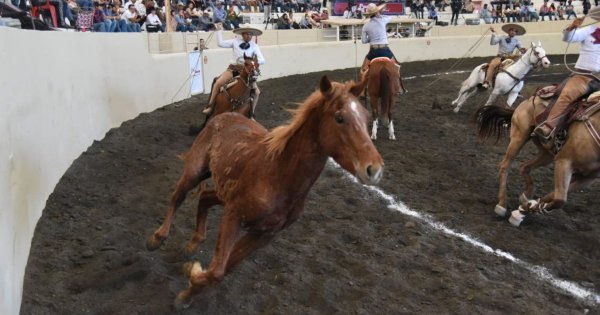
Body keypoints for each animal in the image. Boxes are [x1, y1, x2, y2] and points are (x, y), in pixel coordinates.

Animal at [145, 76, 382, 308]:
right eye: (339, 118)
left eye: (366, 117)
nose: (375, 169)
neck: (277, 174)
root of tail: (222, 116)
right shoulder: (234, 216)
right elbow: (218, 270)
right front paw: (190, 281)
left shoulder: (263, 234)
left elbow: (224, 269)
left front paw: (189, 291)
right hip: (195, 172)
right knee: (177, 197)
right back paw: (157, 238)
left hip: (224, 194)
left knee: (204, 198)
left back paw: (194, 242)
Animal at [474, 90, 600, 226]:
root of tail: (530, 99)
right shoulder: (564, 161)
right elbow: (559, 199)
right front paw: (524, 210)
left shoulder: (587, 178)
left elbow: (553, 196)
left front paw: (524, 210)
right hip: (519, 137)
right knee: (505, 166)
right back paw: (502, 205)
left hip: (547, 154)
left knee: (524, 166)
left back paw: (526, 196)